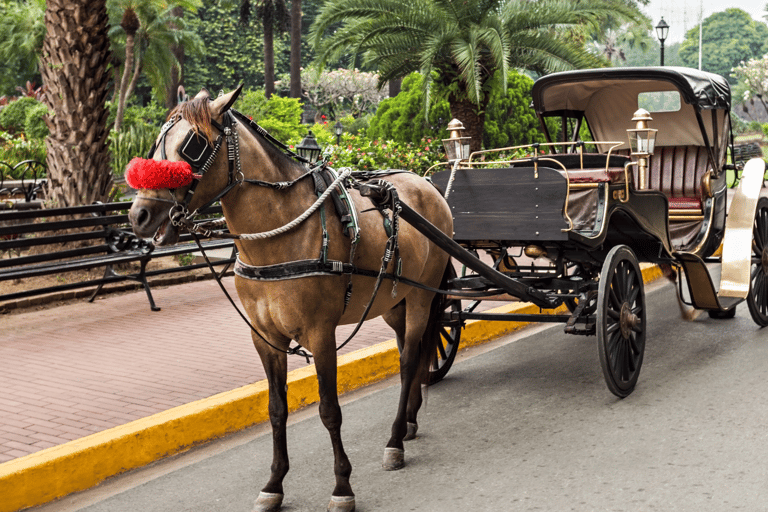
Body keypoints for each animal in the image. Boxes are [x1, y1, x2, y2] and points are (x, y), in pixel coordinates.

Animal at [125, 86, 450, 510]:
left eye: (193, 145)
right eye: (155, 144)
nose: (139, 215)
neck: (278, 235)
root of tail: (425, 184)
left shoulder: (321, 333)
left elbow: (329, 410)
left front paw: (342, 486)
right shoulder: (265, 337)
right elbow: (276, 410)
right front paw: (274, 483)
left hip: (422, 297)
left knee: (410, 360)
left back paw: (395, 439)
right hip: (394, 301)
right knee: (406, 351)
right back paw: (409, 420)